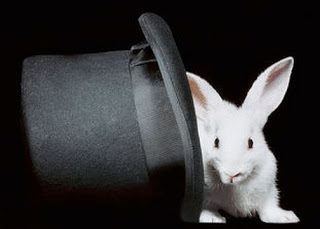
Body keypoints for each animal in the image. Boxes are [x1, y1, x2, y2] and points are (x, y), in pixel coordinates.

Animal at [188, 57, 300, 224]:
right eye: (216, 142)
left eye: (251, 143)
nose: (232, 173)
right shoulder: (202, 194)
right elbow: (206, 207)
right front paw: (213, 219)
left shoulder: (268, 190)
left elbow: (269, 207)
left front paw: (285, 217)